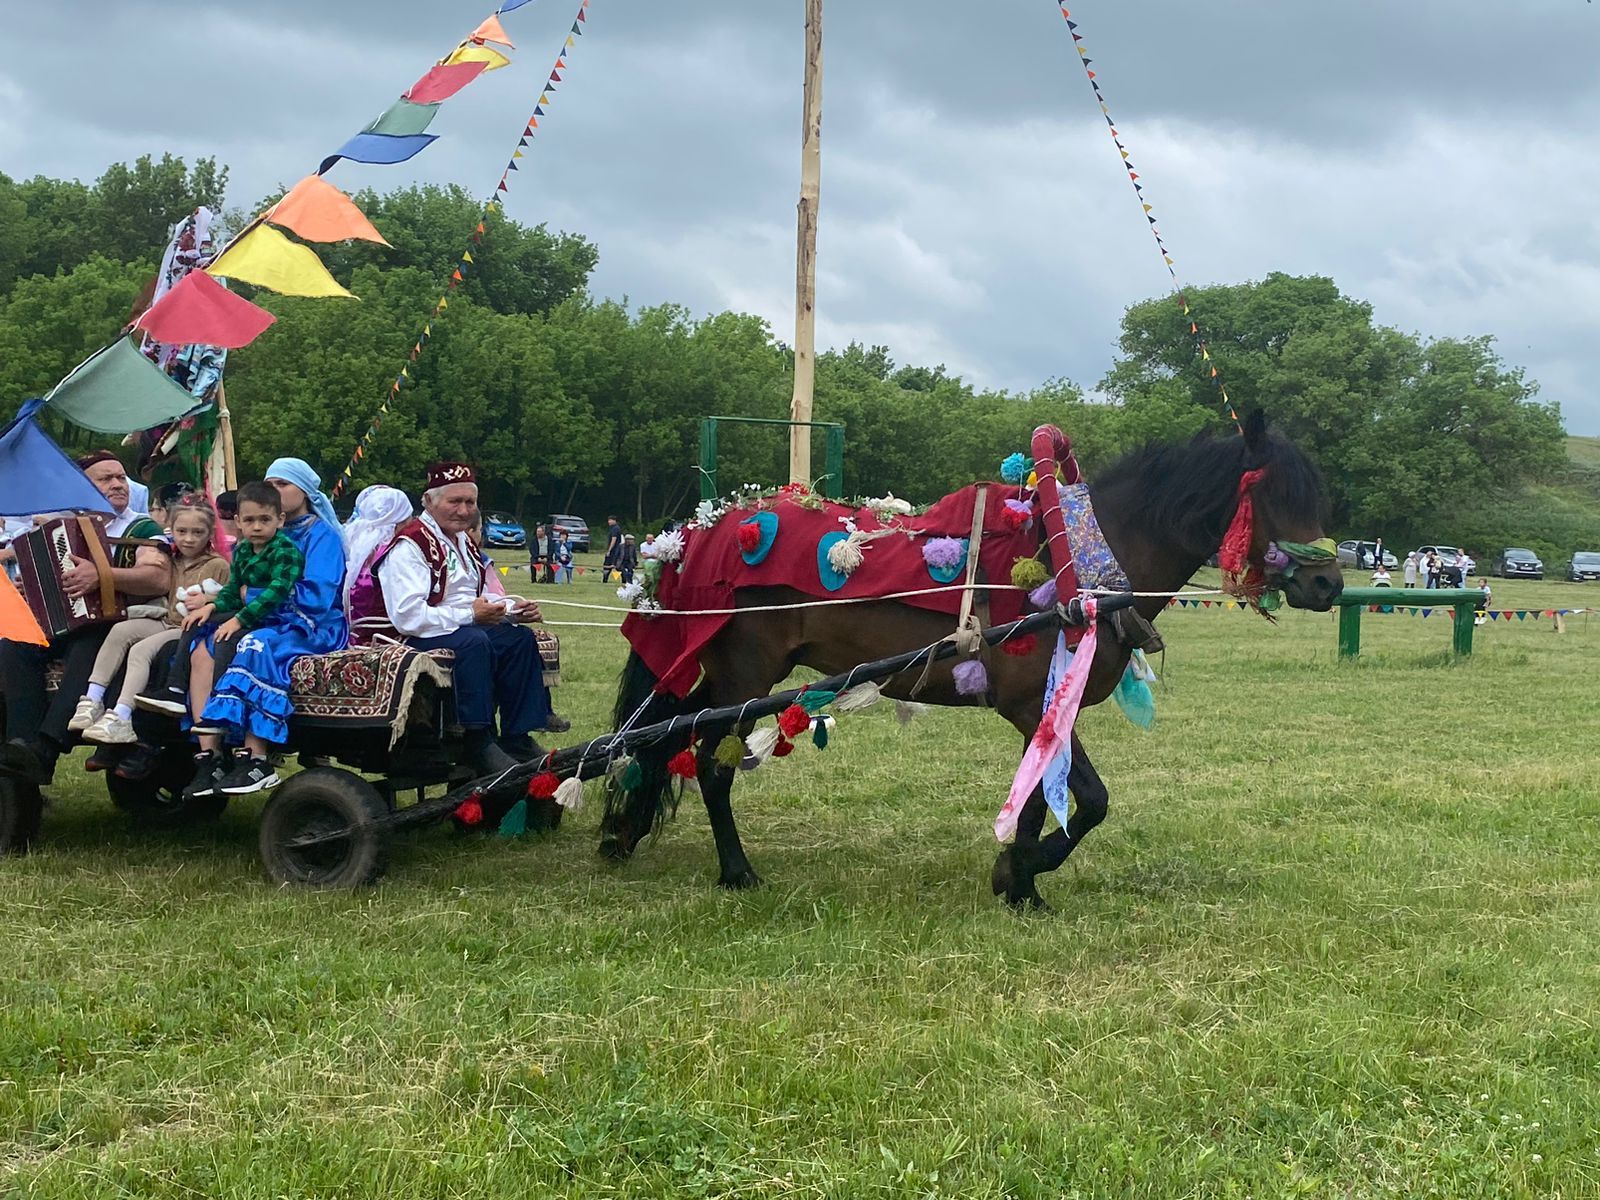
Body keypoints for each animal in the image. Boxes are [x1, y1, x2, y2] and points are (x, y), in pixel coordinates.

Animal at [598, 412, 1337, 908]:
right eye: (1274, 495)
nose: (1328, 583)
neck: (1083, 562)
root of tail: (698, 535)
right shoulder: (1030, 703)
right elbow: (1088, 801)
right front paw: (1024, 872)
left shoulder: (1047, 710)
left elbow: (1044, 800)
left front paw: (1019, 879)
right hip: (747, 675)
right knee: (709, 765)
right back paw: (735, 871)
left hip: (729, 676)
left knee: (661, 736)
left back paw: (622, 832)